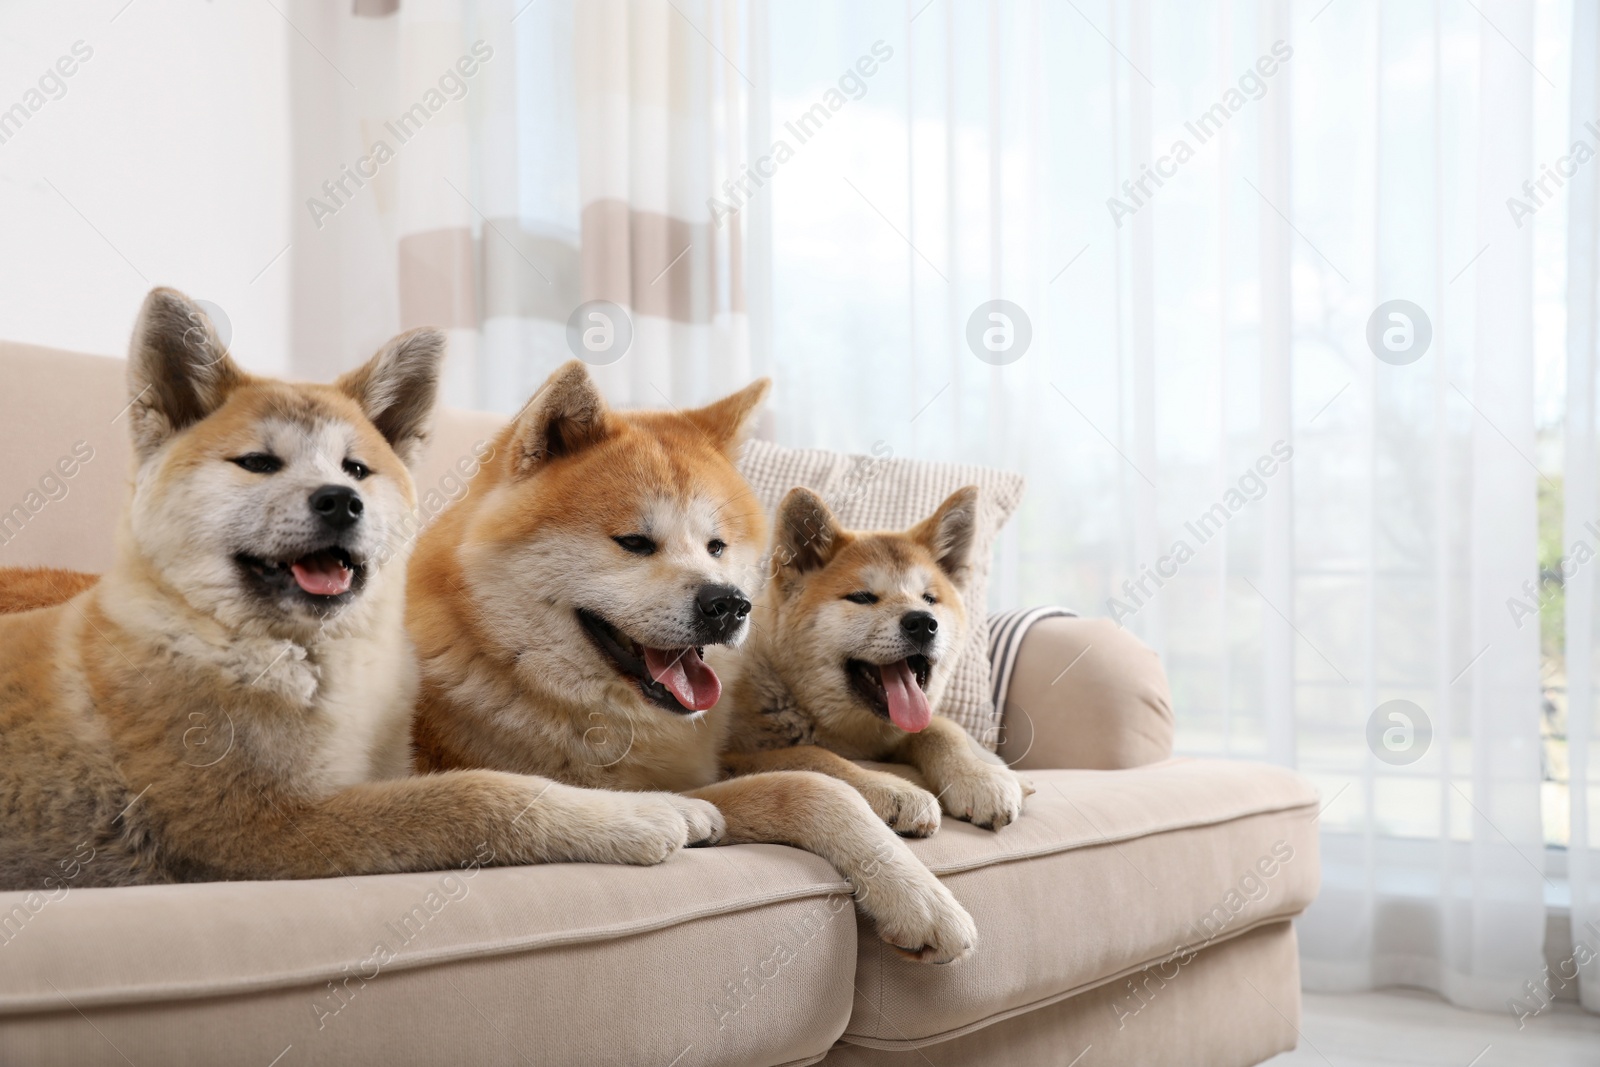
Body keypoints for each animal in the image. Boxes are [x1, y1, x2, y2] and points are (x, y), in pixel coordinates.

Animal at [406, 363, 972, 966]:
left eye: (716, 547)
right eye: (634, 542)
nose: (730, 605)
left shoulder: (695, 780)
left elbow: (805, 778)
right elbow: (816, 786)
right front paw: (921, 898)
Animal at [716, 489, 1036, 838]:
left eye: (929, 599)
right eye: (863, 597)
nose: (923, 623)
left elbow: (941, 728)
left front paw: (982, 776)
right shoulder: (727, 759)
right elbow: (811, 755)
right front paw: (893, 790)